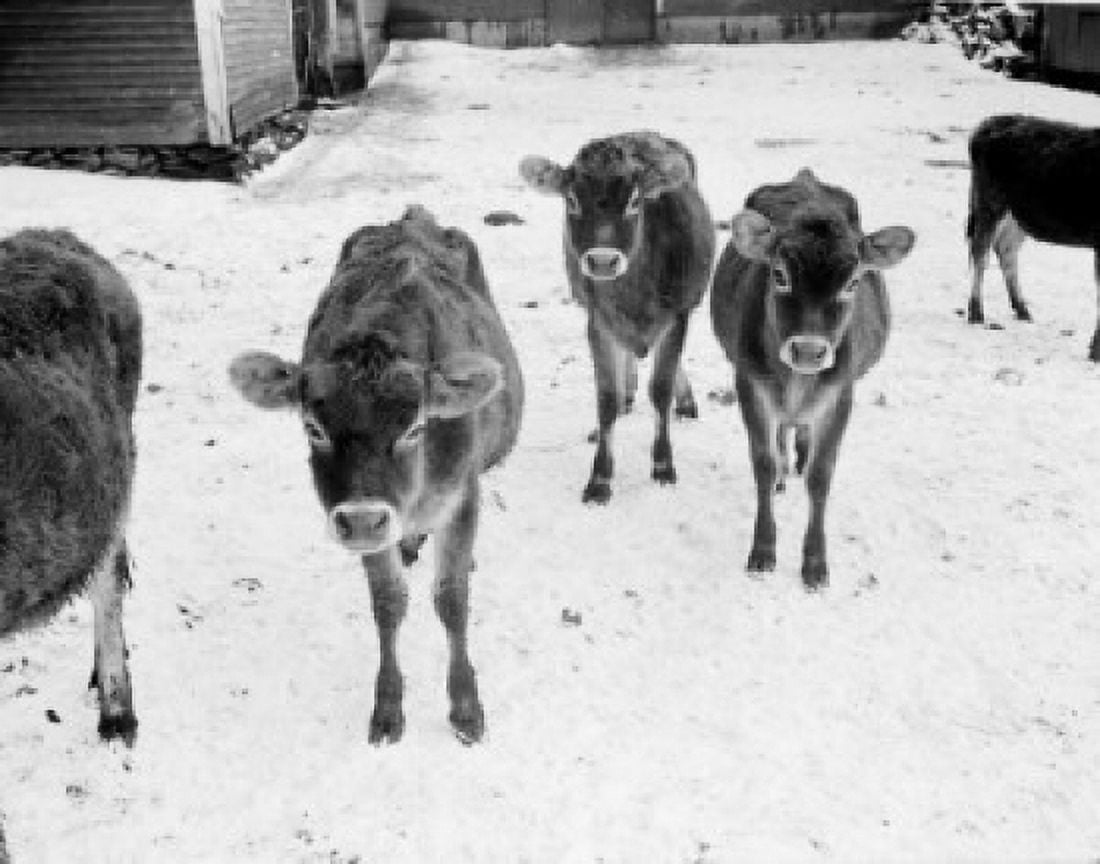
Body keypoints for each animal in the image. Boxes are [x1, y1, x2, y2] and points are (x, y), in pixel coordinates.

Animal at [228, 206, 523, 745]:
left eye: (416, 427)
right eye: (313, 427)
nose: (365, 520)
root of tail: (412, 217)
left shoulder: (462, 495)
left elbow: (452, 599)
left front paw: (465, 707)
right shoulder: (358, 514)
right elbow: (388, 601)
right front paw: (388, 707)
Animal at [519, 131, 715, 504]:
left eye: (635, 201)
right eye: (571, 199)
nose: (602, 261)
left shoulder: (678, 314)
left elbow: (661, 389)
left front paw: (663, 466)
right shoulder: (597, 320)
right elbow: (605, 398)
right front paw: (599, 479)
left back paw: (685, 402)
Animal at [710, 169, 914, 589]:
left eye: (852, 282)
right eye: (779, 274)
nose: (808, 350)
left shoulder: (841, 395)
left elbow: (821, 476)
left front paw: (815, 564)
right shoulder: (749, 384)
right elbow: (763, 463)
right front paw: (763, 550)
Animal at [966, 113, 1100, 360]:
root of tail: (986, 124)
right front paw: (1095, 351)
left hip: (1017, 215)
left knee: (1005, 248)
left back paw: (1022, 310)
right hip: (989, 201)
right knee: (980, 252)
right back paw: (976, 313)